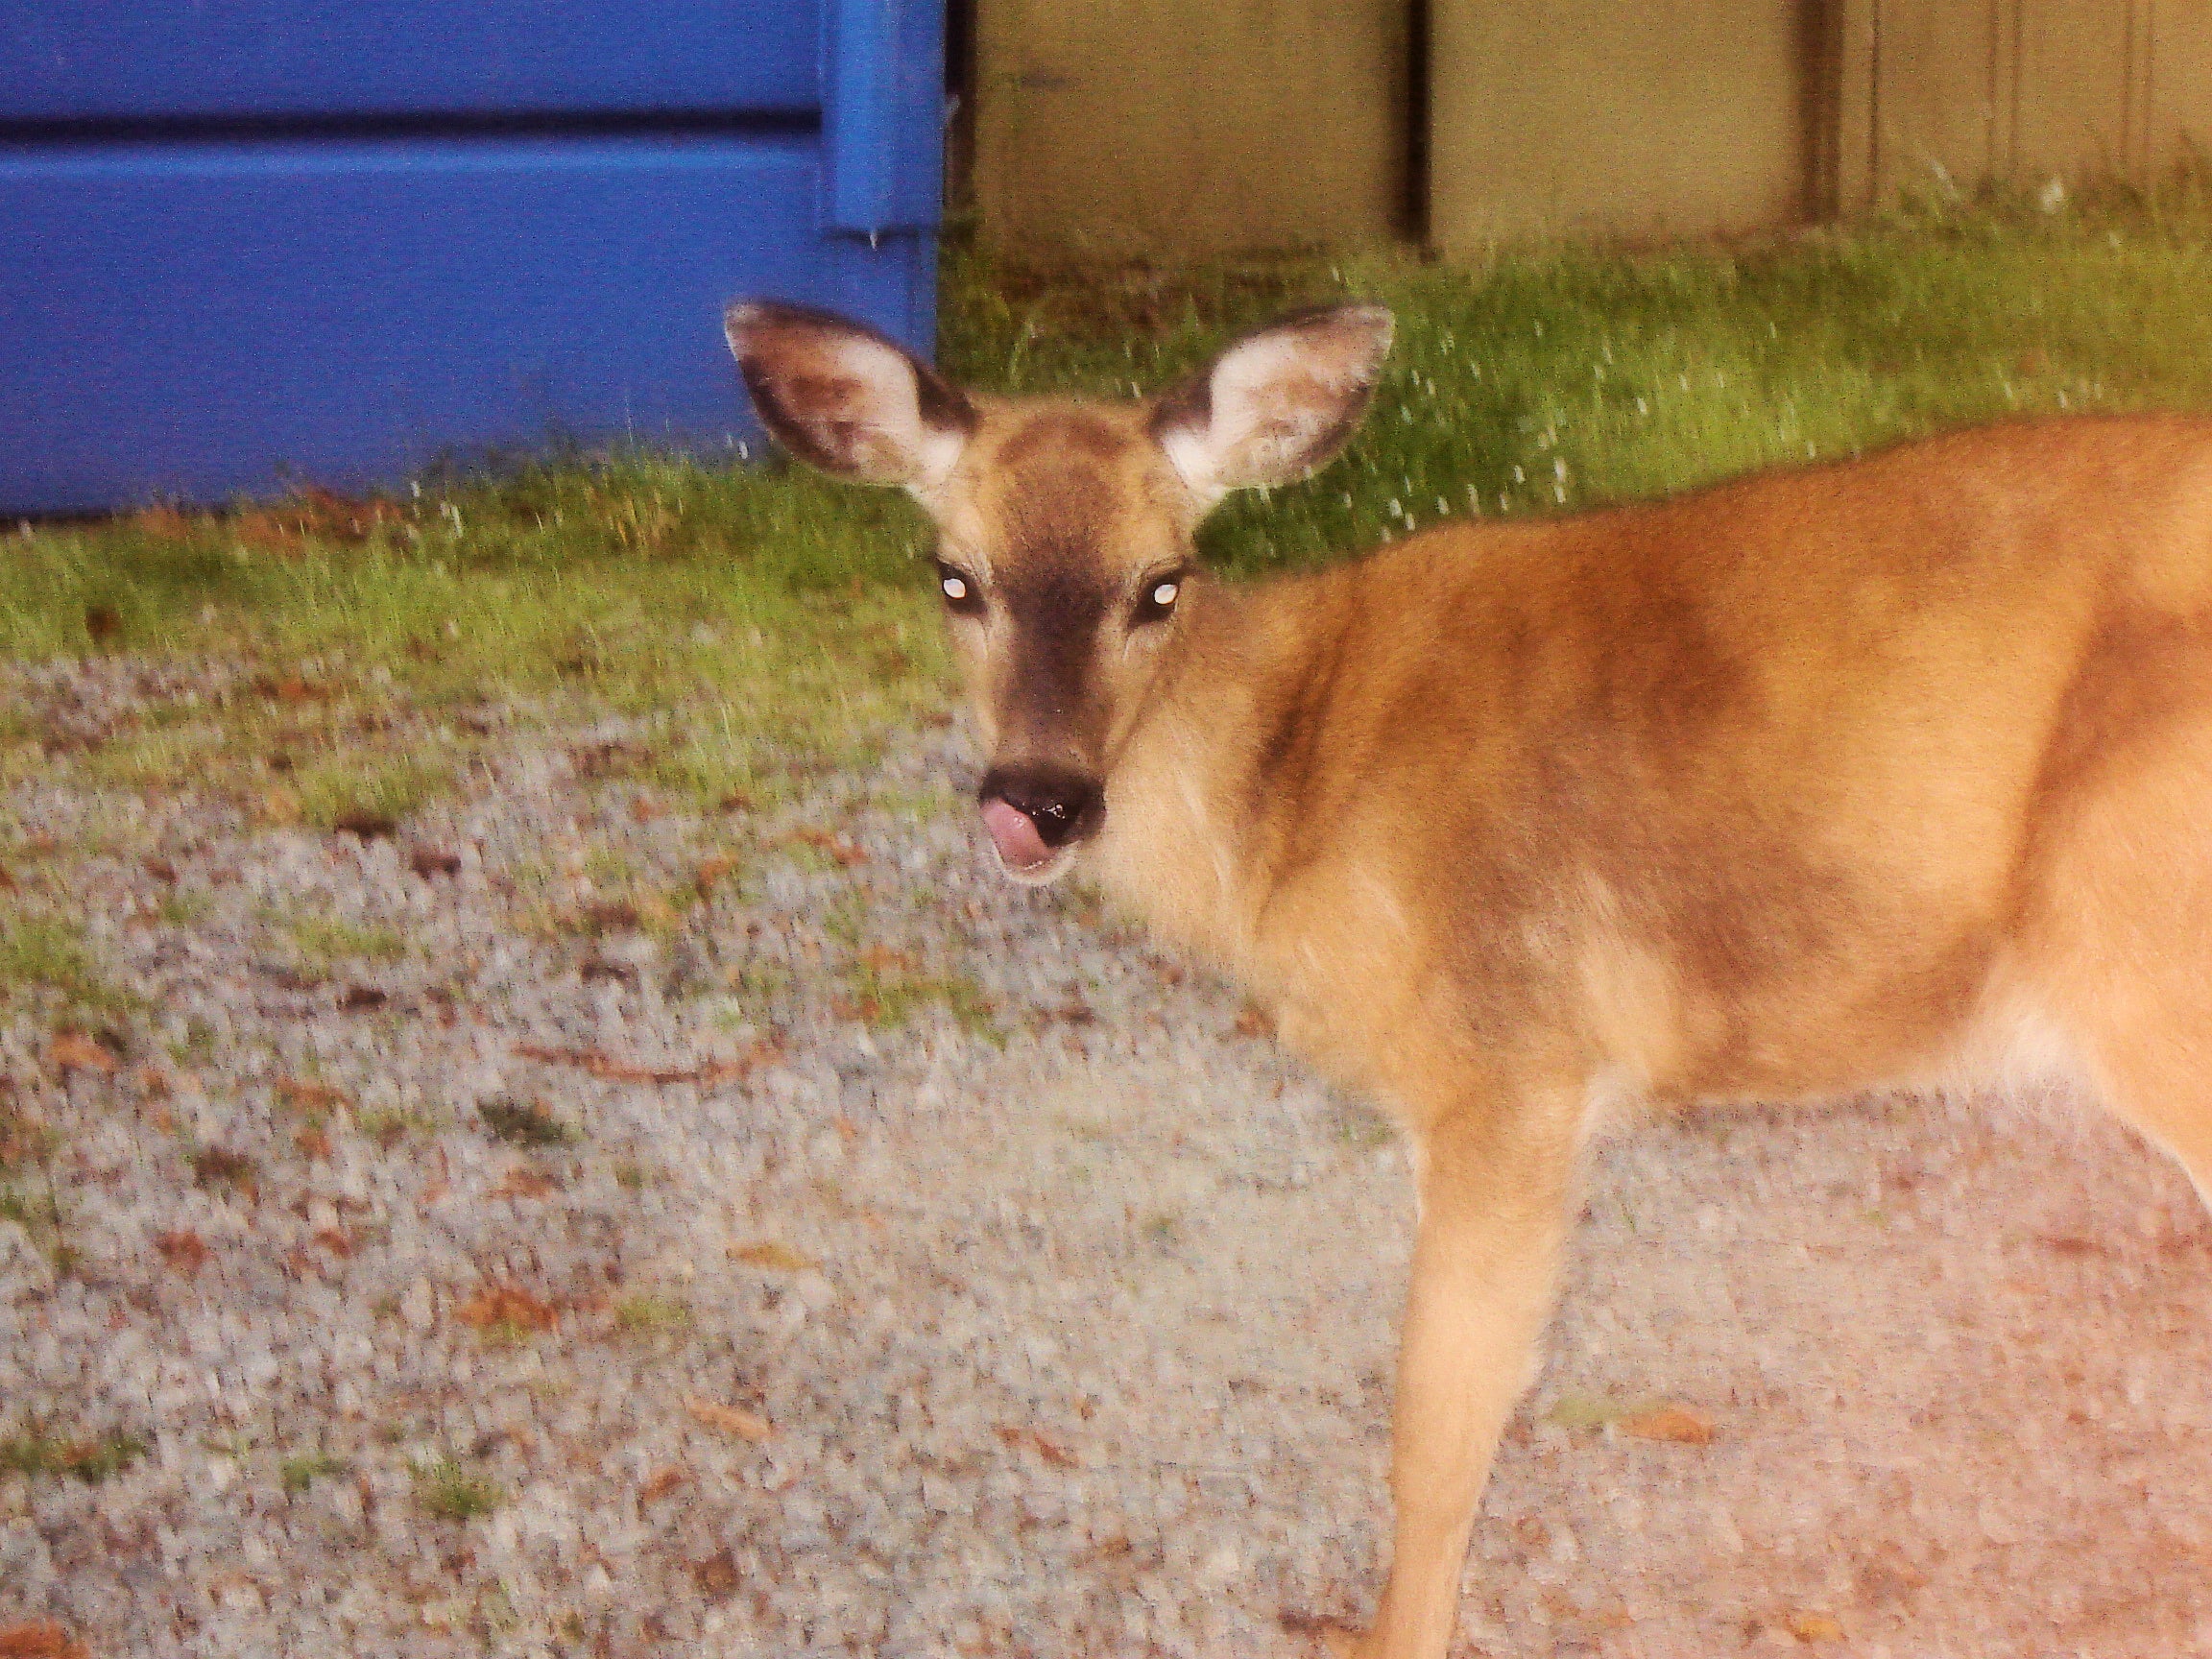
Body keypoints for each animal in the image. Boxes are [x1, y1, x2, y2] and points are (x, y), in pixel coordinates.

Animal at [725, 302, 2212, 1659]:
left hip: (2142, 945)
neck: (1297, 796)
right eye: (952, 576)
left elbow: (1438, 1431)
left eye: (1162, 581)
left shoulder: (1512, 1063)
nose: (1039, 800)